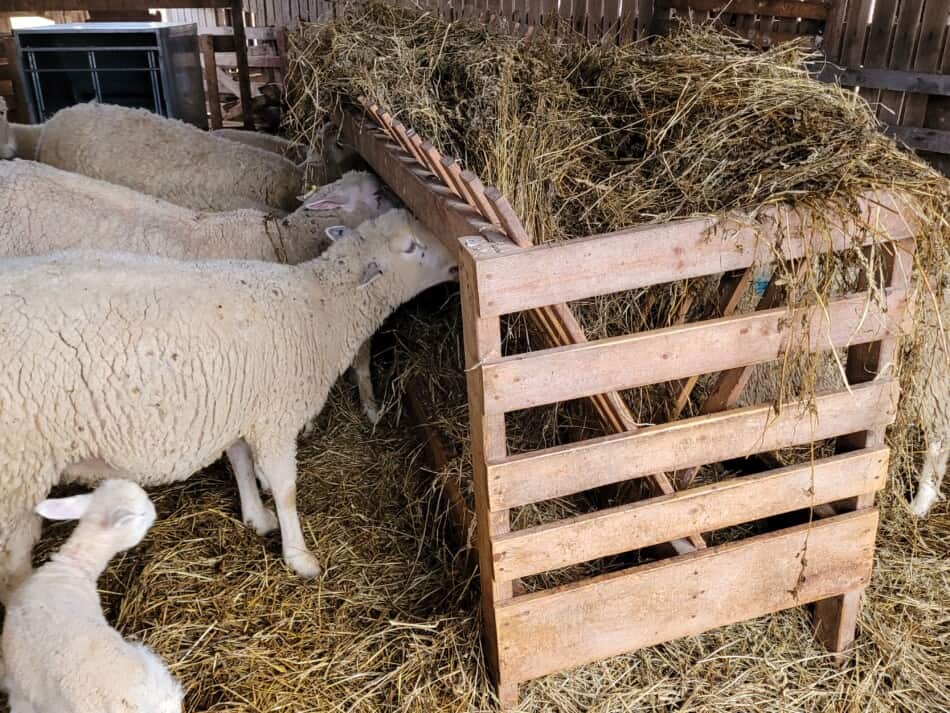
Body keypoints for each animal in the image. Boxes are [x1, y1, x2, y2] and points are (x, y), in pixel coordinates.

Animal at [0, 209, 462, 588]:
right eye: (412, 247)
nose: (457, 256)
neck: (321, 308)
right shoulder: (275, 416)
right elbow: (286, 487)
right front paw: (300, 557)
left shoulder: (240, 407)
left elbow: (240, 461)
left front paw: (257, 517)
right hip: (17, 472)